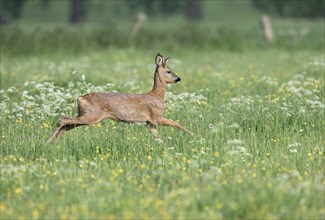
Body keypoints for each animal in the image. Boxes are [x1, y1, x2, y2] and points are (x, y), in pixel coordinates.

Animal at [46, 53, 194, 143]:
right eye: (169, 71)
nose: (178, 79)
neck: (157, 96)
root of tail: (79, 98)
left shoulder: (149, 123)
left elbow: (158, 137)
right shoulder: (156, 116)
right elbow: (177, 123)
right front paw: (193, 135)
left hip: (86, 116)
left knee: (66, 125)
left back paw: (54, 143)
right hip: (91, 116)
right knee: (63, 119)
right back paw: (48, 141)